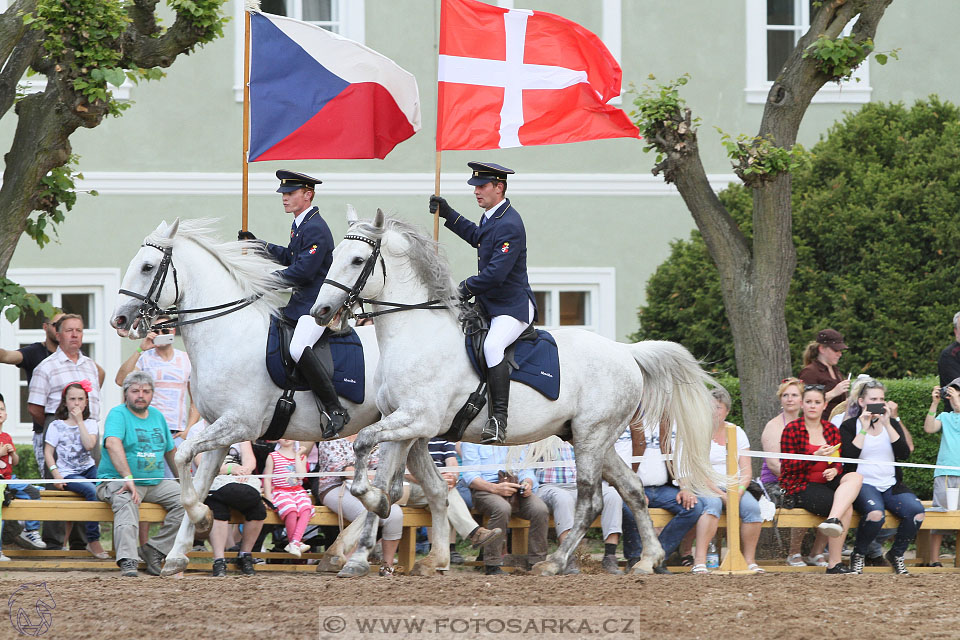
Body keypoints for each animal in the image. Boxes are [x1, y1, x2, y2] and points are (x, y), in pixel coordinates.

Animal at [110, 220, 380, 576]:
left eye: (147, 266)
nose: (119, 320)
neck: (228, 333)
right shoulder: (218, 430)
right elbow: (197, 482)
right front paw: (180, 553)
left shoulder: (240, 424)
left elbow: (181, 456)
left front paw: (202, 520)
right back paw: (345, 549)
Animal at [312, 212, 716, 576]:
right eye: (332, 257)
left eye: (358, 260)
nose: (321, 311)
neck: (416, 335)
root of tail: (625, 352)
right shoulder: (403, 424)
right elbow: (389, 483)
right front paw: (364, 544)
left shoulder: (416, 420)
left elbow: (363, 442)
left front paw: (369, 507)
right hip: (591, 438)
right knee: (632, 490)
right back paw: (648, 560)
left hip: (591, 437)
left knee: (591, 501)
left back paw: (554, 563)